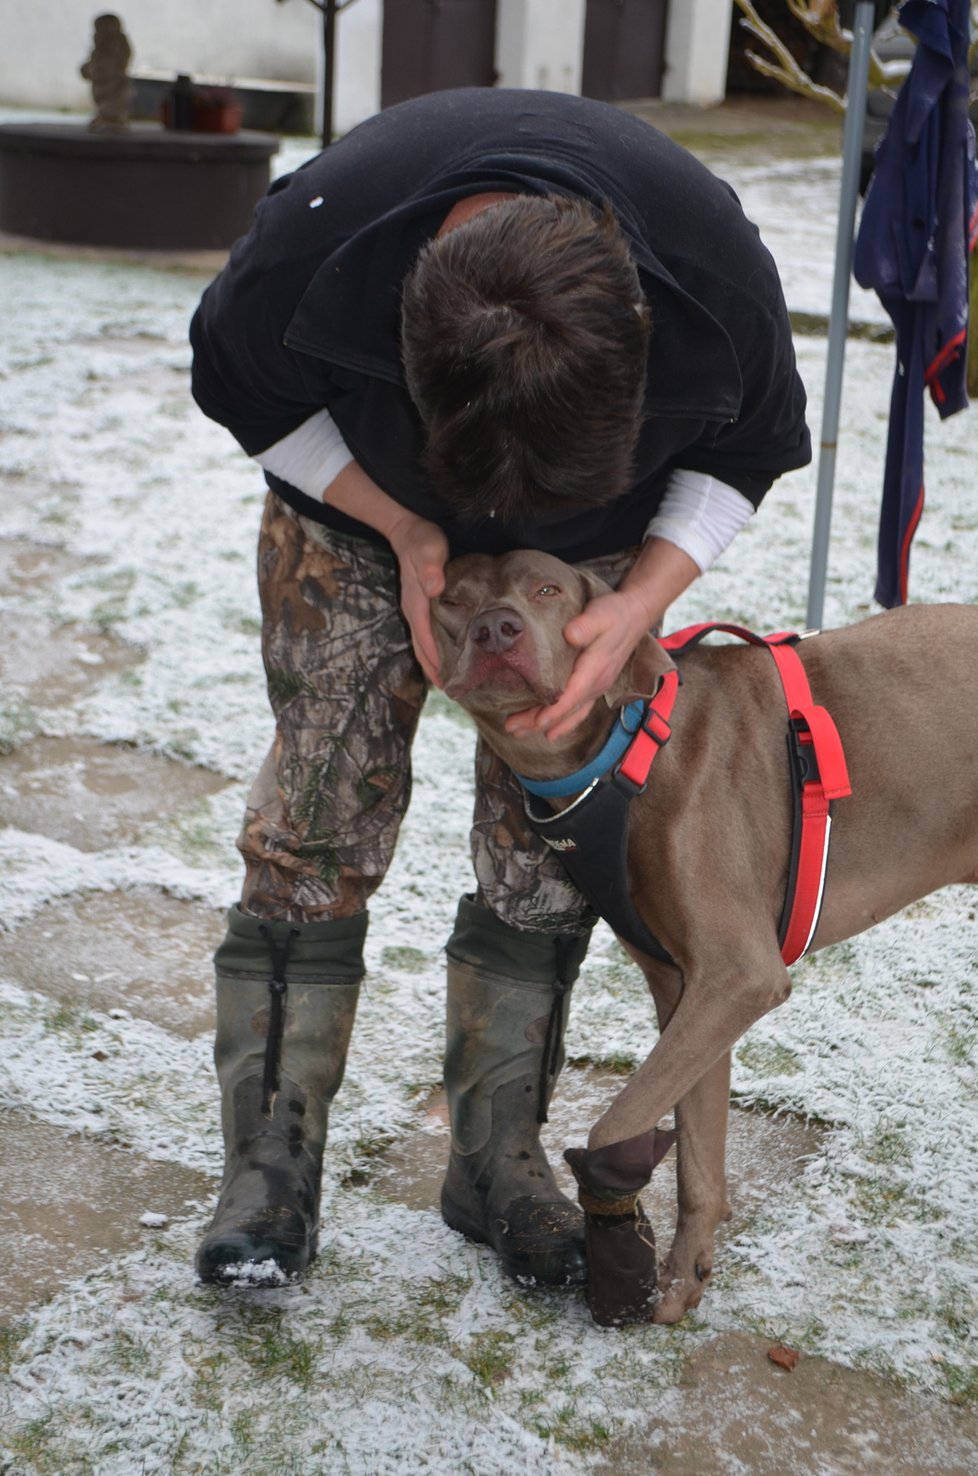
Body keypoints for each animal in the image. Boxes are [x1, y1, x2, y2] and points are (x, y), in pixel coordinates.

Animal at [433, 552, 978, 1328]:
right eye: (451, 599)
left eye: (547, 589)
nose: (495, 629)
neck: (623, 755)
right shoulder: (689, 989)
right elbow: (698, 1153)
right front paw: (676, 1281)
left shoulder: (737, 977)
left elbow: (614, 1127)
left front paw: (616, 1238)